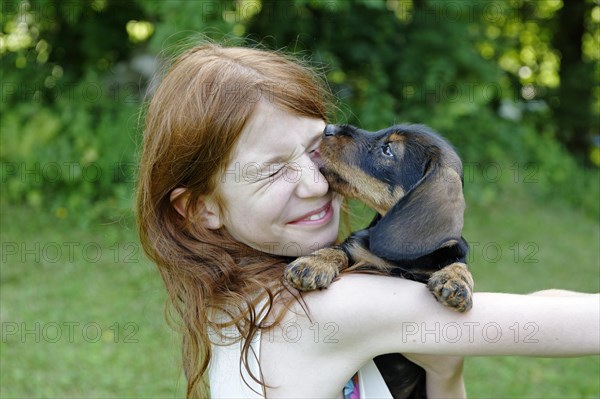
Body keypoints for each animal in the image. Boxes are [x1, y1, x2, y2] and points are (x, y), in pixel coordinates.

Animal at [284, 123, 474, 398]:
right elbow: (339, 250)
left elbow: (458, 263)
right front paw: (314, 263)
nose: (329, 128)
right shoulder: (356, 250)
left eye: (388, 150)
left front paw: (457, 282)